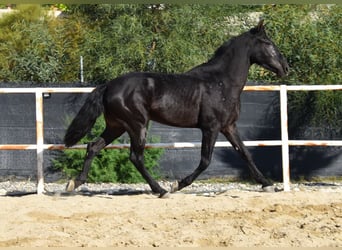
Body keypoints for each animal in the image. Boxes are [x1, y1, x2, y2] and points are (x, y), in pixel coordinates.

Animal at [63, 20, 288, 197]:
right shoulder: (211, 127)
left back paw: (74, 183)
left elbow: (245, 153)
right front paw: (177, 184)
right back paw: (161, 190)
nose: (285, 68)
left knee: (93, 146)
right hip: (137, 125)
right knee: (136, 157)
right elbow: (205, 160)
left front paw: (267, 184)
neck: (221, 82)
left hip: (116, 126)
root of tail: (109, 85)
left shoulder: (229, 126)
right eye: (268, 43)